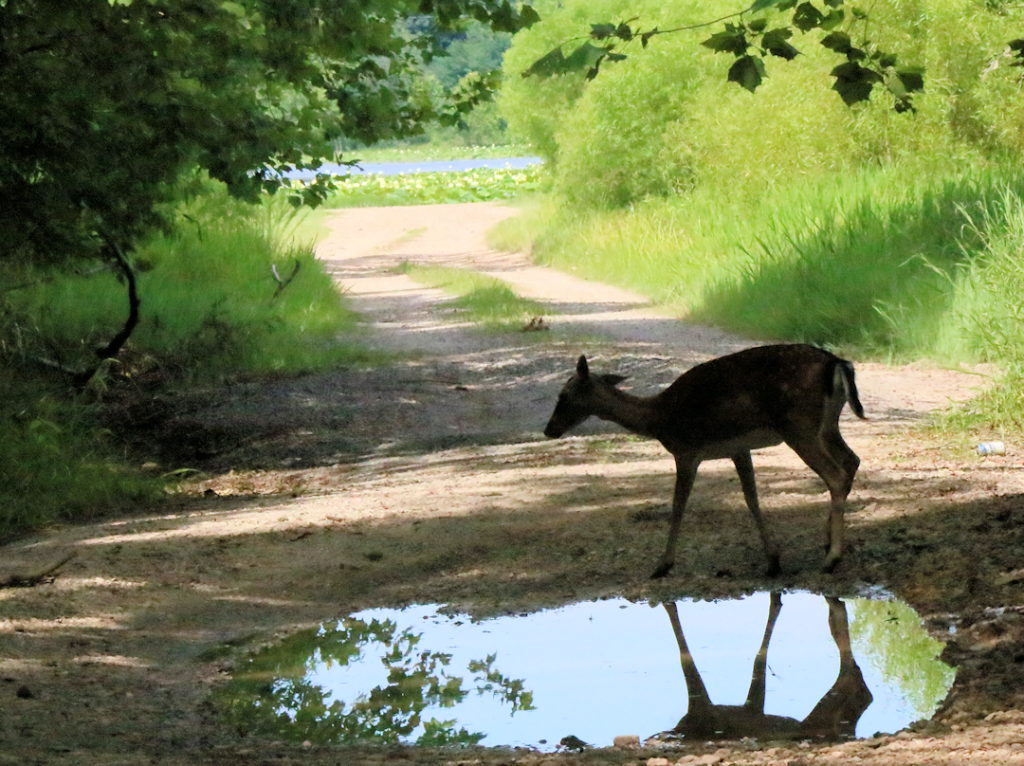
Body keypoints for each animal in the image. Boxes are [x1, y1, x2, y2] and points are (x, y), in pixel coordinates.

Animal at [544, 344, 864, 577]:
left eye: (564, 395)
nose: (549, 429)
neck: (658, 418)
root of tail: (837, 363)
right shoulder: (738, 448)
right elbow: (752, 499)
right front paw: (773, 562)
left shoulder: (686, 450)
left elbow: (678, 506)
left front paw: (662, 565)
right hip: (826, 425)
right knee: (851, 461)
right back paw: (828, 543)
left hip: (799, 426)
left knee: (836, 474)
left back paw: (831, 559)